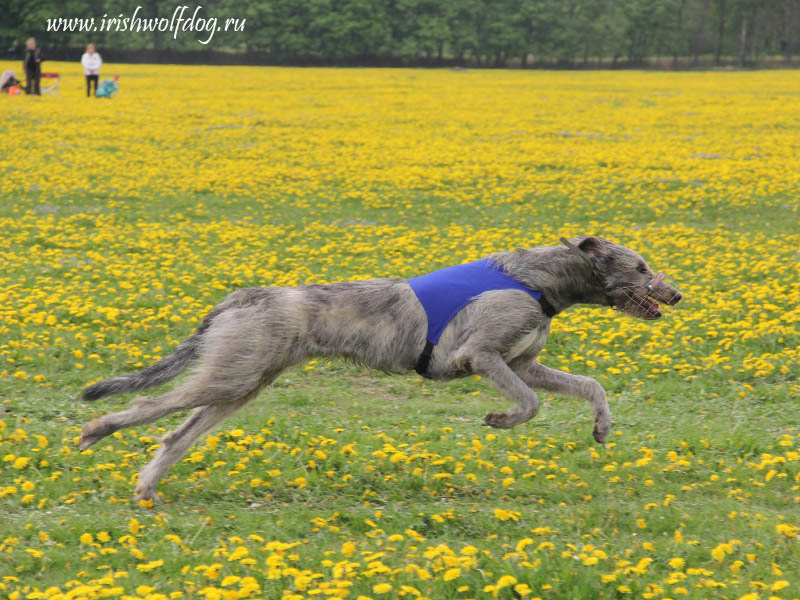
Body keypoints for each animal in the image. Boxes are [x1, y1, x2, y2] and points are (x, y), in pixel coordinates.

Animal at [81, 236, 680, 502]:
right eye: (640, 266)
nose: (677, 294)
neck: (537, 279)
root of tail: (239, 297)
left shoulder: (522, 362)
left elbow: (587, 384)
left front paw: (601, 425)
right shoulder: (482, 355)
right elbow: (528, 403)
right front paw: (501, 420)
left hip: (241, 382)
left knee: (176, 435)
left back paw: (146, 487)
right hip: (232, 374)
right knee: (146, 405)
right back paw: (96, 431)